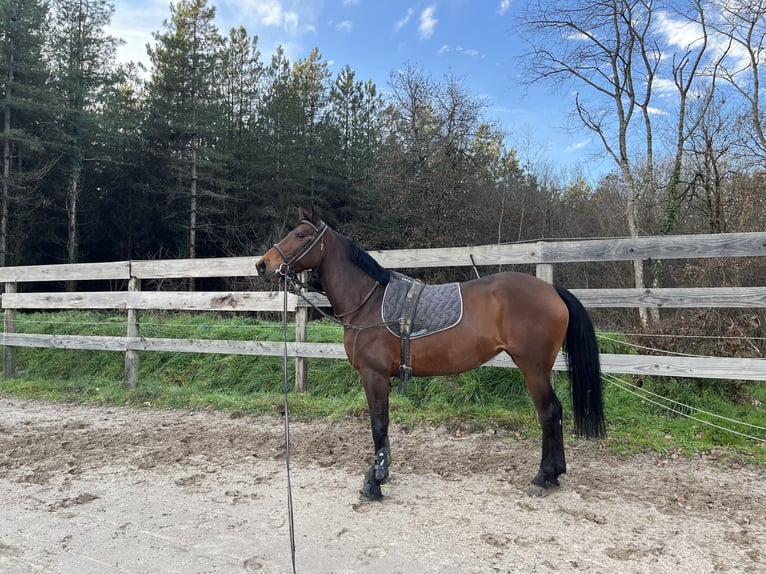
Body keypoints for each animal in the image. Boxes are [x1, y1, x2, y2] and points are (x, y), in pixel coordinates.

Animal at [258, 209, 608, 502]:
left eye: (300, 234)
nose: (262, 264)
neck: (368, 302)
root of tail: (551, 291)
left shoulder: (373, 375)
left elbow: (378, 424)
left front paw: (375, 480)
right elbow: (383, 423)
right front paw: (381, 472)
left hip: (533, 367)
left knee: (549, 413)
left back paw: (543, 476)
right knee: (555, 412)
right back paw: (555, 474)